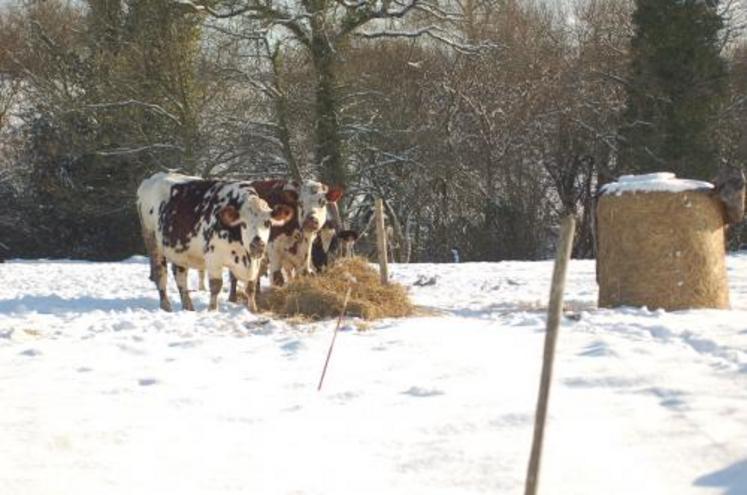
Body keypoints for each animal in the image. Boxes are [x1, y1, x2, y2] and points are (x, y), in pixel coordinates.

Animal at [138, 172, 296, 312]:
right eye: (243, 224)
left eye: (267, 223)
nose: (257, 244)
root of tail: (151, 179)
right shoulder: (213, 257)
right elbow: (216, 285)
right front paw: (212, 309)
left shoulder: (256, 261)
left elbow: (250, 286)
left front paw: (253, 309)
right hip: (152, 240)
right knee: (160, 274)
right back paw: (166, 306)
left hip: (178, 250)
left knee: (180, 277)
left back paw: (188, 307)